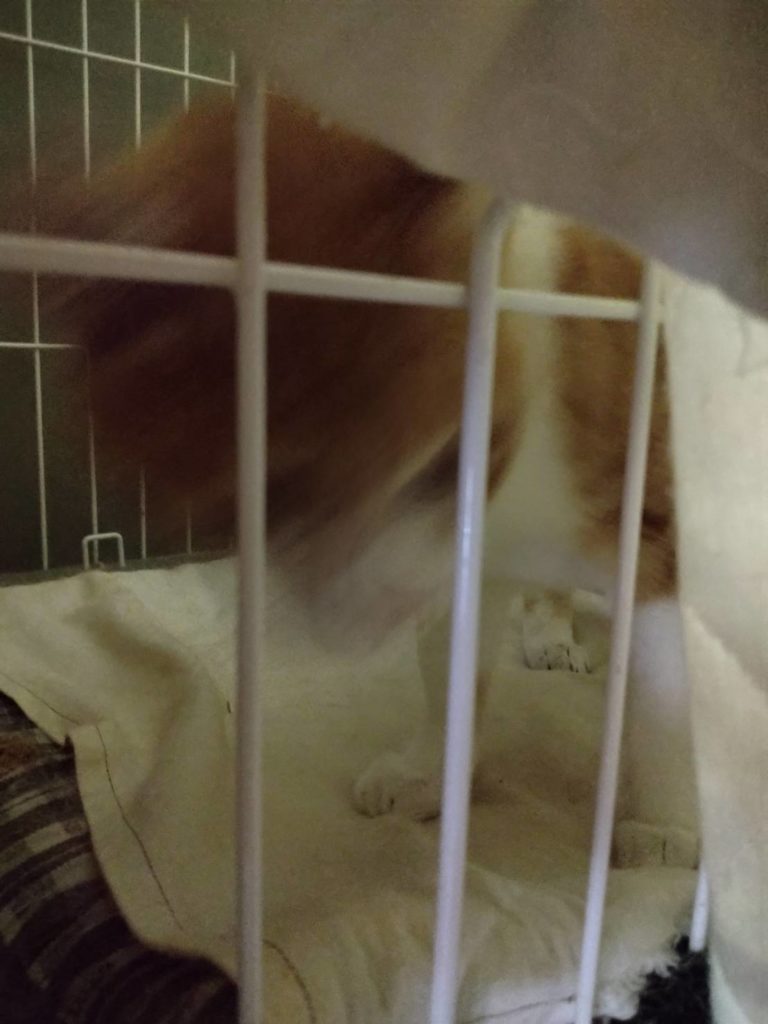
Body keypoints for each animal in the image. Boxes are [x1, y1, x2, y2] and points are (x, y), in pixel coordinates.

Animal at [36, 93, 698, 868]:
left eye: (445, 465)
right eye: (262, 501)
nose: (379, 608)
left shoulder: (664, 543)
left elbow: (666, 704)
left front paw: (664, 822)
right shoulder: (461, 566)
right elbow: (450, 670)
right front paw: (429, 772)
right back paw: (549, 628)